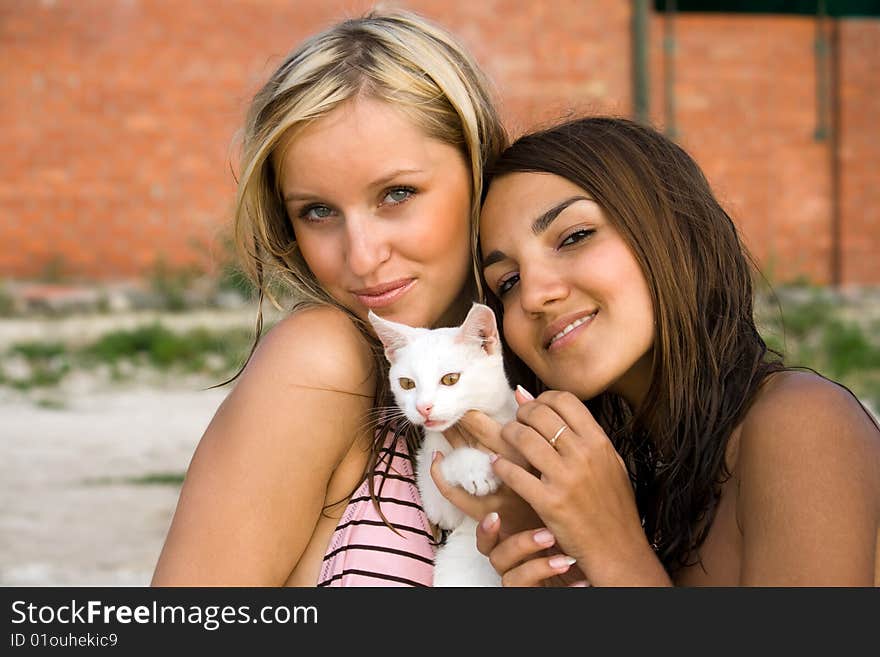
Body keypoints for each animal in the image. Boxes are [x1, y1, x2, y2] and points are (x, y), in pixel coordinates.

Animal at [368, 302, 520, 584]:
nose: (423, 407)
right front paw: (475, 468)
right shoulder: (441, 509)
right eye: (407, 383)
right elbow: (440, 472)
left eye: (450, 379)